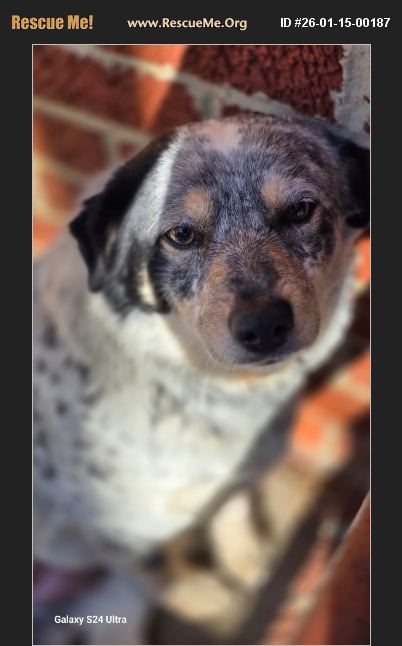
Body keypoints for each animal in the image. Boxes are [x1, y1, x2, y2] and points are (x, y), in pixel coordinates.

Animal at [33, 114, 368, 644]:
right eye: (182, 234)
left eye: (301, 209)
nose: (264, 327)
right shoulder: (116, 536)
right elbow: (155, 576)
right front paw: (207, 597)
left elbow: (234, 517)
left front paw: (250, 564)